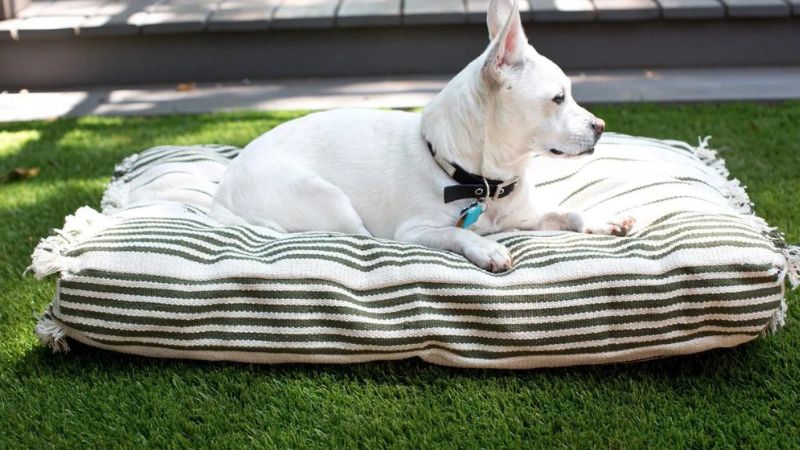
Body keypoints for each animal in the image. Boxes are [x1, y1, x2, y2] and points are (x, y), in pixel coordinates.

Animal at [209, 0, 636, 272]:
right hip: (329, 202)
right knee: (366, 237)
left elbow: (569, 211)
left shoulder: (526, 216)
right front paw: (485, 246)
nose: (601, 126)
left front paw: (601, 219)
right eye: (558, 99)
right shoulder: (417, 231)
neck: (484, 183)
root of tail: (222, 192)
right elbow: (454, 234)